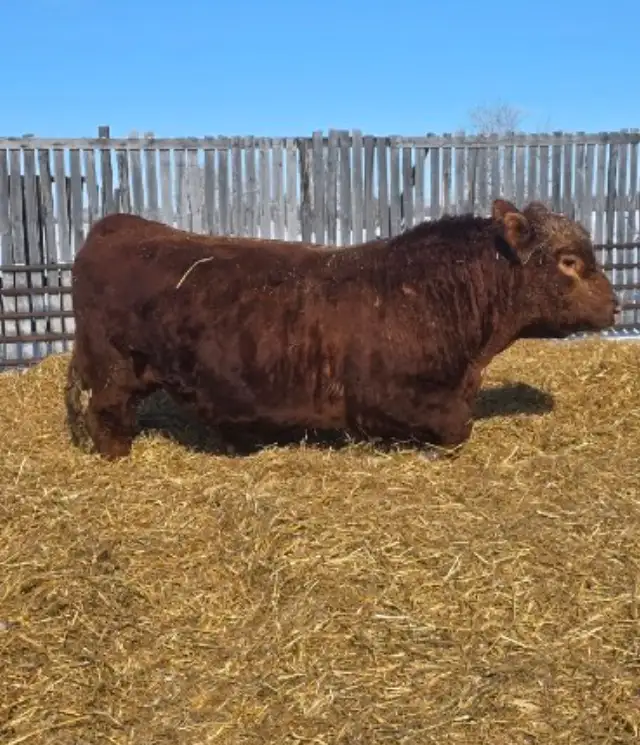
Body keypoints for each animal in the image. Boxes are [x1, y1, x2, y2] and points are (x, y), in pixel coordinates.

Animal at [65, 199, 619, 460]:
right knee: (104, 415)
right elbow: (457, 427)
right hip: (112, 368)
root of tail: (118, 225)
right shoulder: (384, 397)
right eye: (569, 261)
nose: (616, 304)